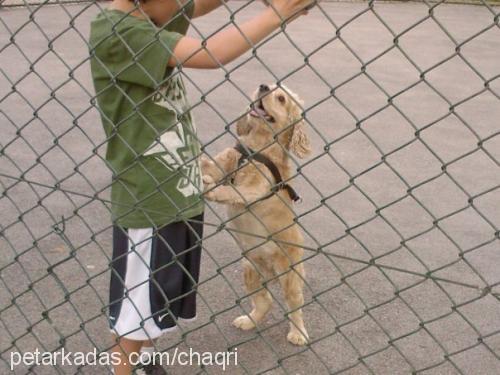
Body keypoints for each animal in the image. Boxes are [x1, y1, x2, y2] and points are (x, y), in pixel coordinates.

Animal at [200, 83, 310, 346]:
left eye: (281, 98)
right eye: (269, 85)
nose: (263, 87)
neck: (255, 148)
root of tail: (270, 271)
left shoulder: (257, 189)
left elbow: (233, 191)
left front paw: (212, 189)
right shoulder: (222, 162)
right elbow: (204, 162)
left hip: (289, 275)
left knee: (295, 306)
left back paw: (298, 334)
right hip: (250, 269)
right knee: (265, 301)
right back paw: (248, 321)